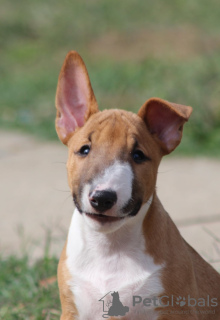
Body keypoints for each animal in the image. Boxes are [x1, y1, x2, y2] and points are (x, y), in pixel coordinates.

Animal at [55, 51, 220, 318]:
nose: (103, 198)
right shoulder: (72, 310)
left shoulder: (177, 309)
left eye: (138, 155)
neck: (110, 248)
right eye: (85, 149)